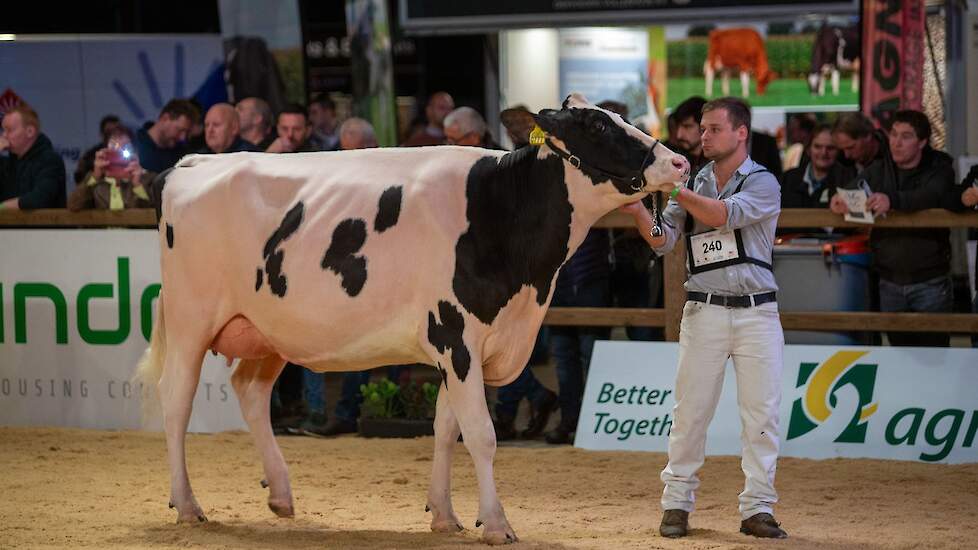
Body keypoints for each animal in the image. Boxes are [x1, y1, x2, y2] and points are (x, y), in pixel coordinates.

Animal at [135, 92, 688, 544]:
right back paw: (188, 505)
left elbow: (446, 429)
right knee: (176, 400)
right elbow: (481, 435)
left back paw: (281, 495)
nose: (679, 161)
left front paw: (445, 515)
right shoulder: (456, 336)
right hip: (189, 319)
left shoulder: (460, 348)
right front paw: (498, 523)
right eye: (596, 126)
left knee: (250, 391)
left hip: (268, 331)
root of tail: (188, 163)